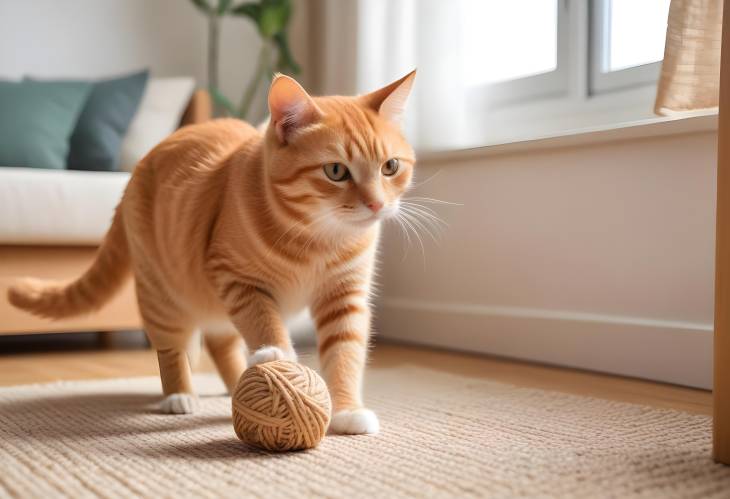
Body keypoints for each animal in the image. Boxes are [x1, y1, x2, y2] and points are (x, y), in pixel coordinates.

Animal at [8, 72, 416, 436]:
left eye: (390, 167)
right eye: (335, 171)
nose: (376, 204)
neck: (318, 239)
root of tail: (136, 171)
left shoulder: (344, 298)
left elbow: (344, 356)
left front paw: (347, 410)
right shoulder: (238, 280)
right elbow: (264, 322)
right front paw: (276, 355)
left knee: (221, 342)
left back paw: (238, 381)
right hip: (163, 296)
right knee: (173, 350)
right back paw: (179, 396)